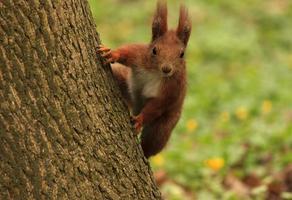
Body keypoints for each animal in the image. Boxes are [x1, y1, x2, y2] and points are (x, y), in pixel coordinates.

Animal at [98, 1, 192, 158]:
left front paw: (139, 120)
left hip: (163, 126)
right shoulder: (139, 55)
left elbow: (157, 105)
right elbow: (127, 52)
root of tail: (135, 106)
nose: (167, 69)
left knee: (152, 143)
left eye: (182, 54)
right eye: (154, 50)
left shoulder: (173, 88)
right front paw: (112, 54)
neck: (156, 72)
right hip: (124, 83)